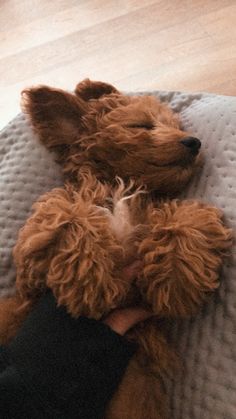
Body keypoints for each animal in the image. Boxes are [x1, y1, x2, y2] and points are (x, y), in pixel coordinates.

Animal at [0, 79, 232, 419]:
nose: (194, 141)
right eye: (141, 125)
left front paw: (177, 279)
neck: (121, 184)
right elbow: (66, 212)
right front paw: (86, 279)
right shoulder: (32, 260)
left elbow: (188, 216)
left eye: (176, 126)